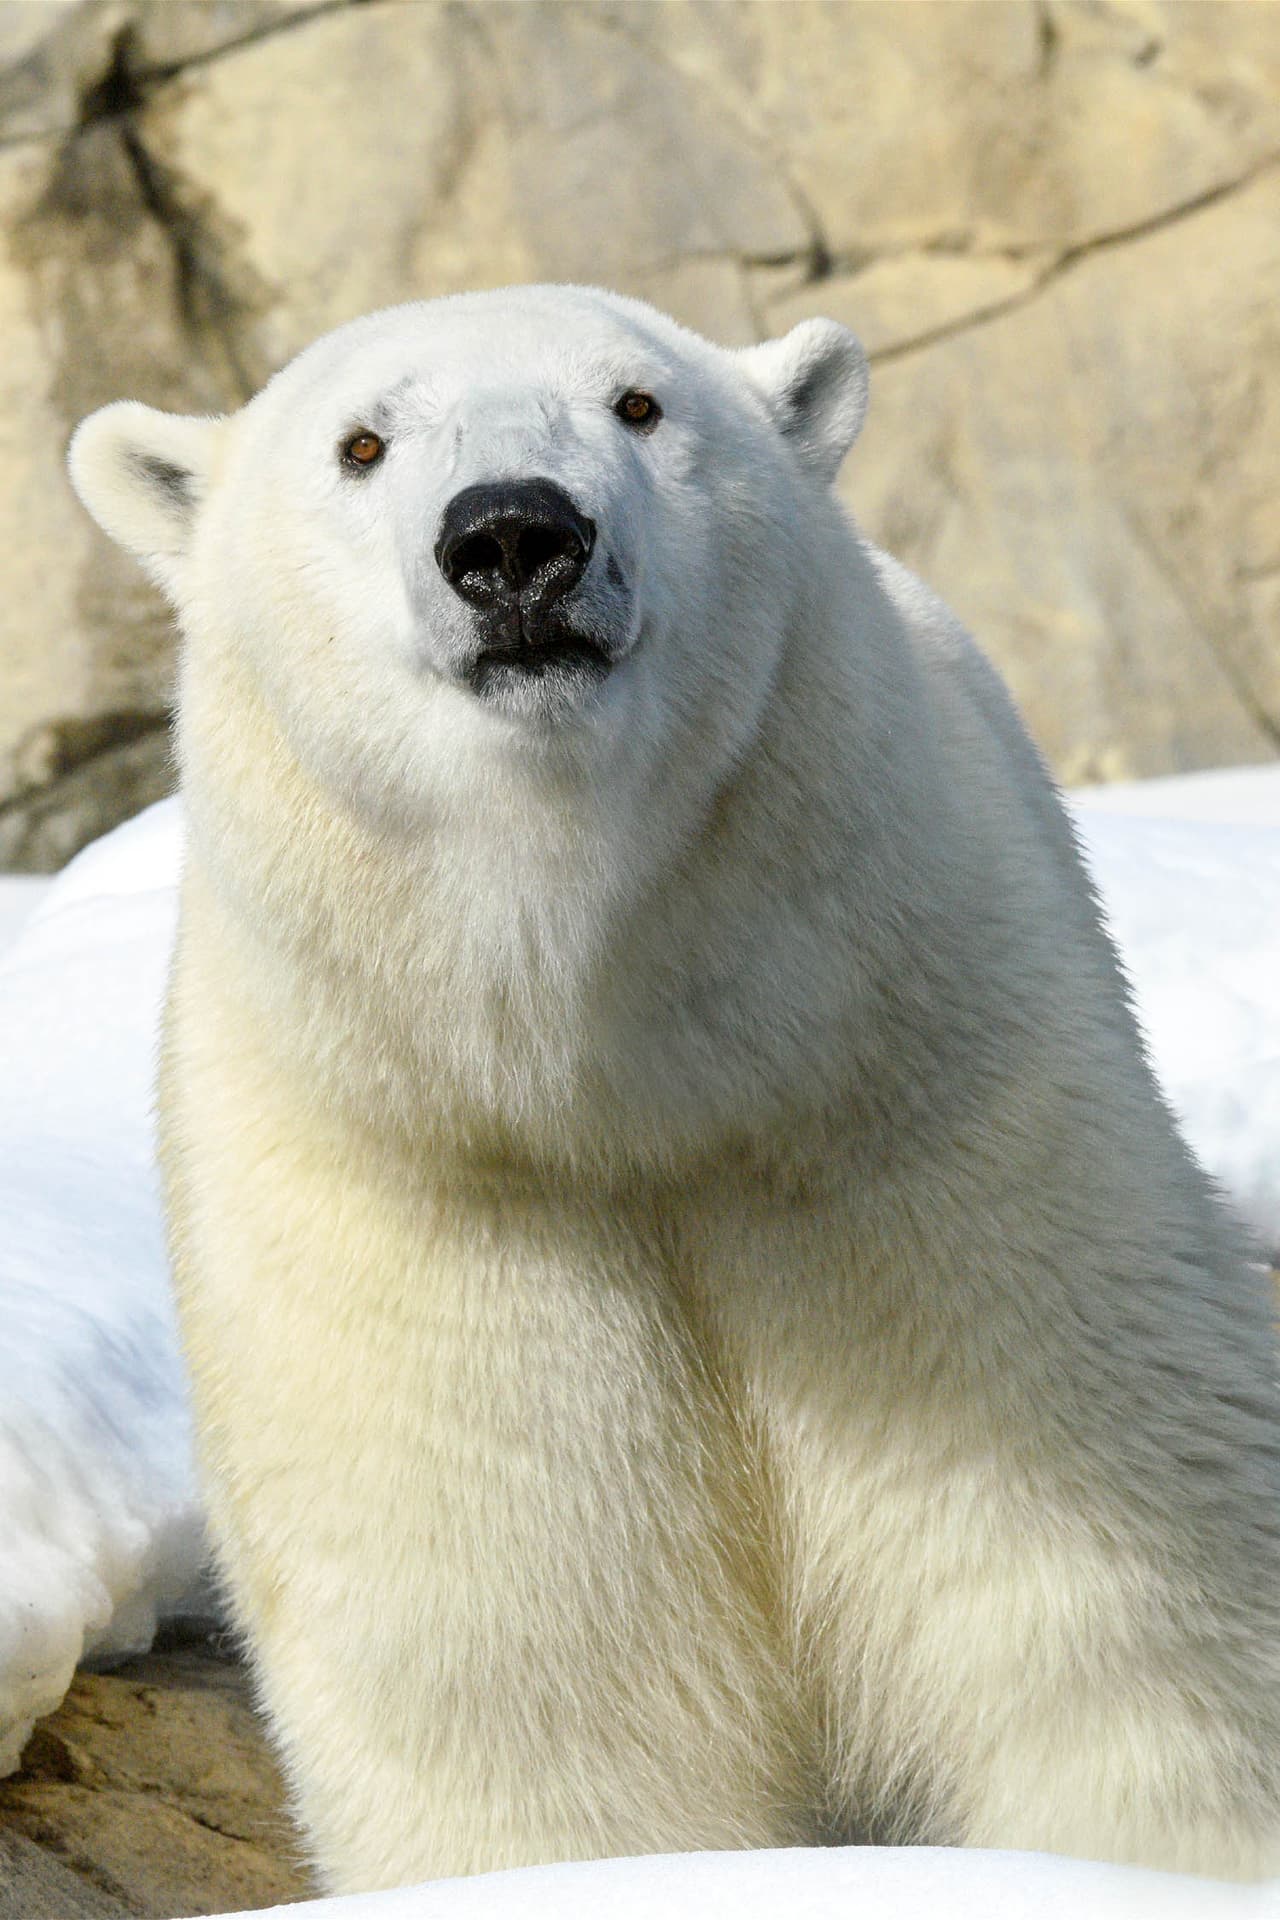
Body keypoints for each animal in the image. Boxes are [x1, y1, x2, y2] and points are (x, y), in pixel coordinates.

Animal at [68, 285, 1280, 1891]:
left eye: (638, 404)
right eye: (361, 442)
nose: (514, 536)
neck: (619, 1067)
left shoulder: (915, 1113)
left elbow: (1101, 1603)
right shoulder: (427, 1196)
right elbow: (531, 1667)